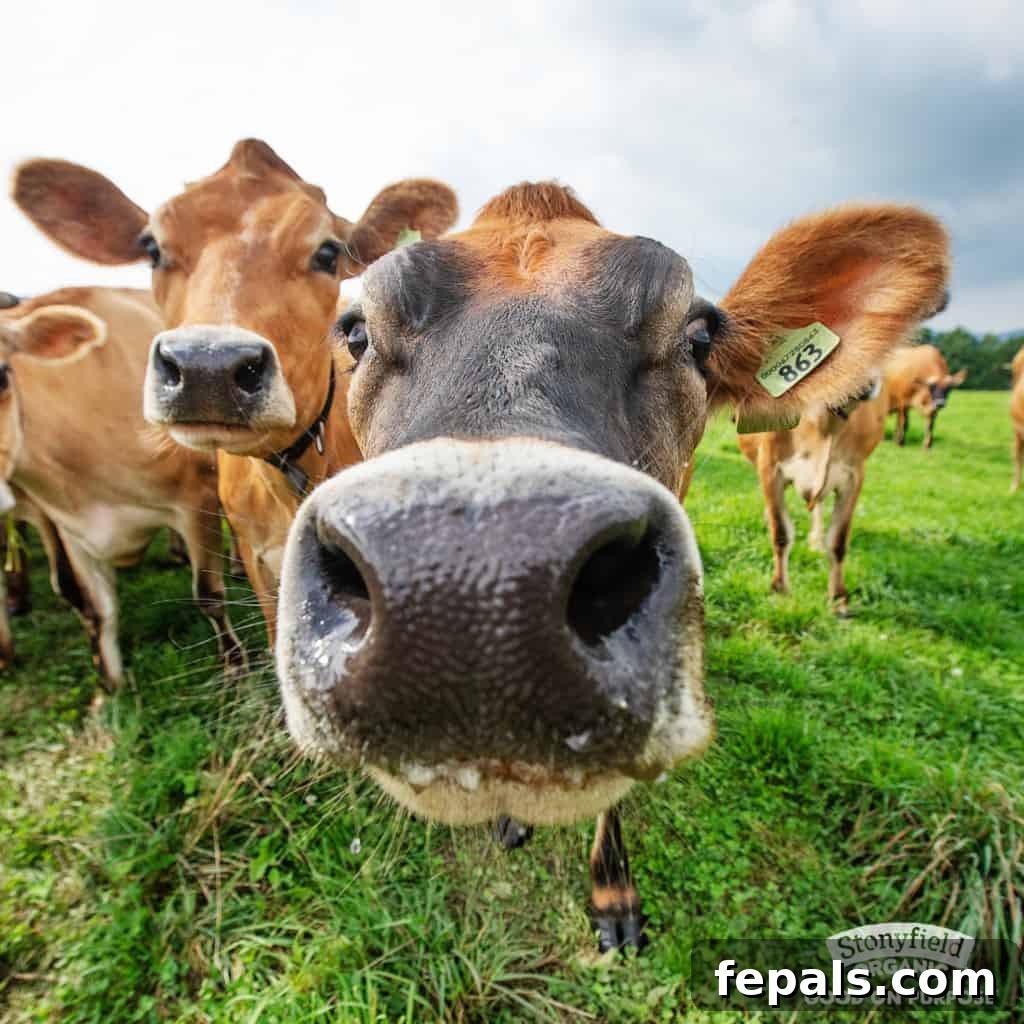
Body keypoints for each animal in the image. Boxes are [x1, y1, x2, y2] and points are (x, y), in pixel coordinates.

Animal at [0, 288, 243, 684]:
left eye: (2, 376)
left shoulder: (196, 498)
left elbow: (208, 594)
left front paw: (236, 667)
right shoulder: (68, 526)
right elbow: (91, 605)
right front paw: (109, 684)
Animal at [737, 378, 888, 615]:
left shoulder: (854, 476)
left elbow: (838, 541)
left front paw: (838, 598)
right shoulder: (770, 467)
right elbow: (780, 532)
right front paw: (780, 590)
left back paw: (816, 540)